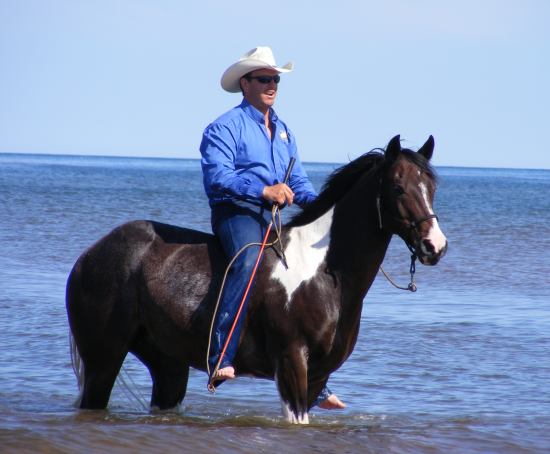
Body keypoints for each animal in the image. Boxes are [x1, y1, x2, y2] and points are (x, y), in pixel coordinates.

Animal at [67, 134, 448, 422]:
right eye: (398, 188)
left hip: (168, 366)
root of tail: (90, 254)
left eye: (431, 186)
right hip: (103, 361)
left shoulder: (317, 375)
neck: (324, 274)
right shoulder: (291, 365)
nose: (435, 245)